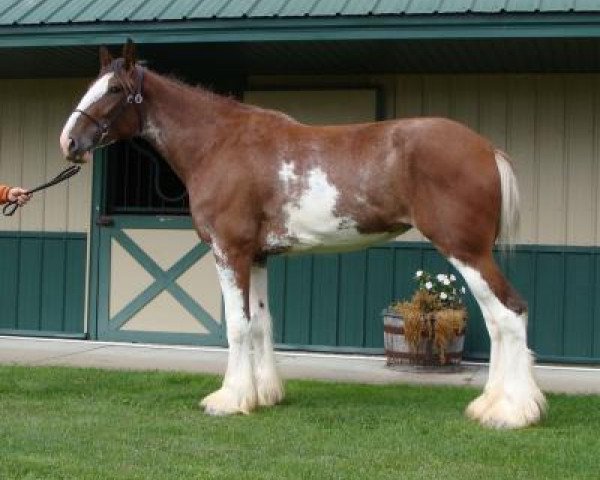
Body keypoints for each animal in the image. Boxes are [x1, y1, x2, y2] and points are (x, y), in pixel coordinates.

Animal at [59, 41, 544, 430]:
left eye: (114, 90)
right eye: (92, 85)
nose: (69, 143)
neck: (219, 144)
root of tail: (485, 147)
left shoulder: (229, 251)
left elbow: (237, 326)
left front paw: (229, 400)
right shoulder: (257, 257)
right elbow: (260, 323)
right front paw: (264, 394)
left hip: (466, 251)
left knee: (508, 314)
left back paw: (511, 412)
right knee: (498, 320)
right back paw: (490, 405)